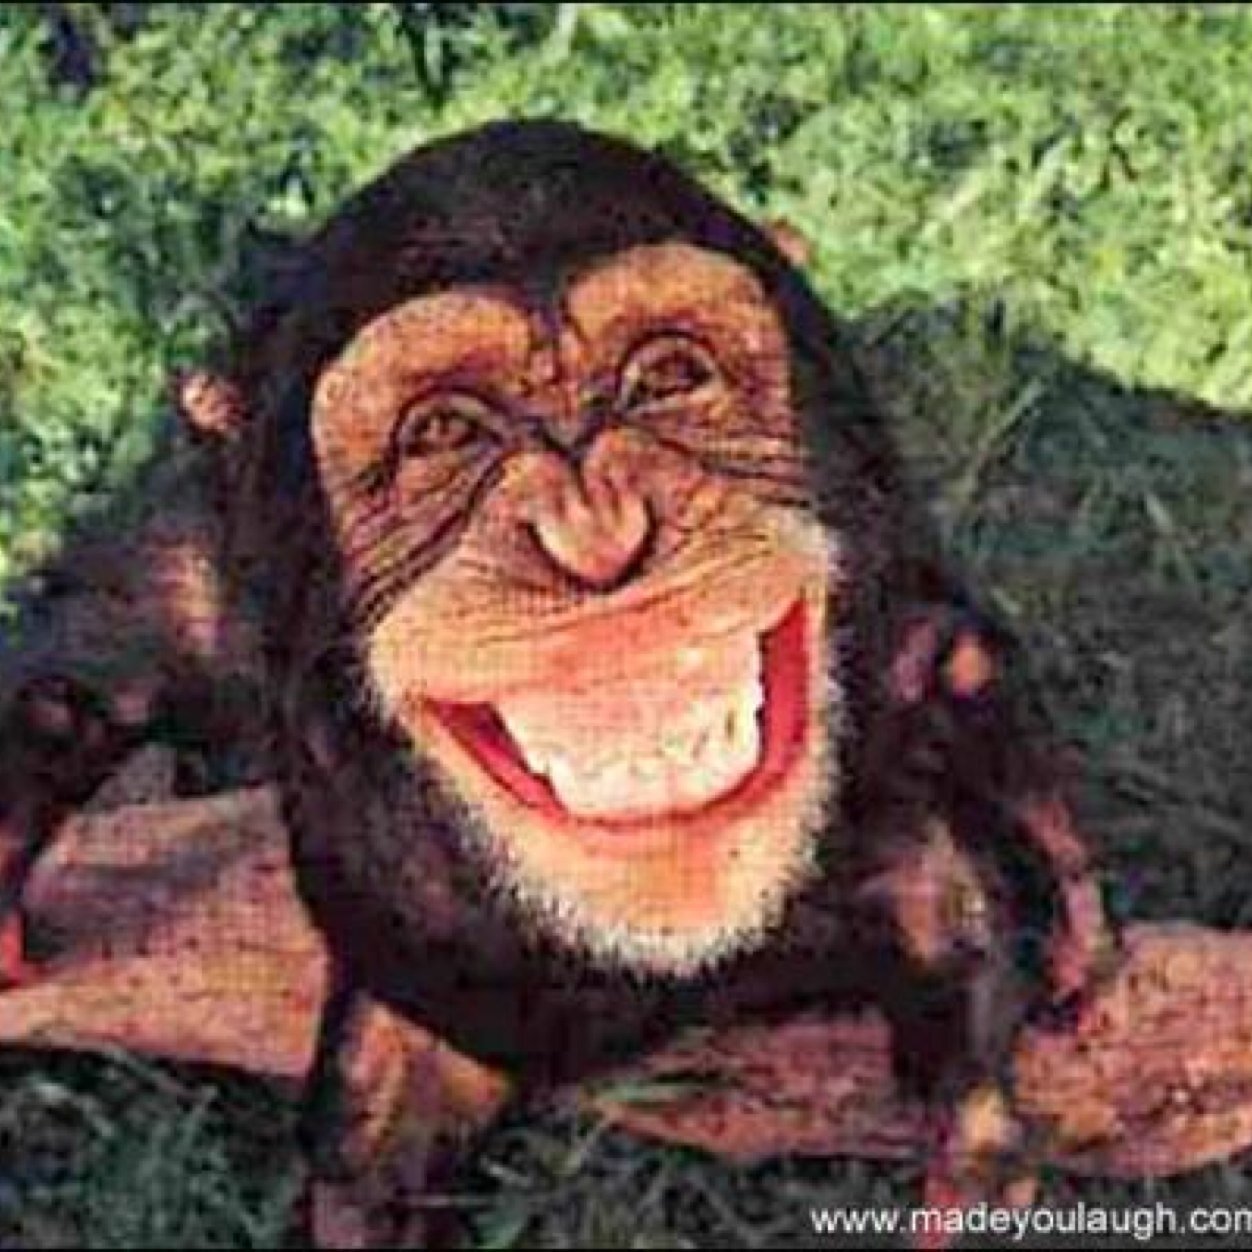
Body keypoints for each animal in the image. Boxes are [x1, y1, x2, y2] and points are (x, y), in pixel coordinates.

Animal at [0, 120, 1115, 1246]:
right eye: (443, 434)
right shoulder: (213, 588)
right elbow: (75, 686)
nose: (596, 528)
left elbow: (950, 671)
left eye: (668, 376)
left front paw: (1056, 969)